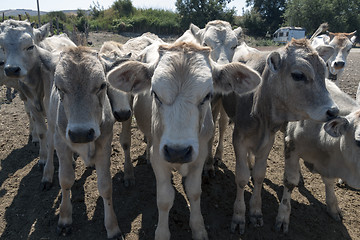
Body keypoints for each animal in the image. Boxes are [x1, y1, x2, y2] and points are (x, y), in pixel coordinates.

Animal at [37, 46, 122, 238]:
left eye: (102, 85)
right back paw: (47, 175)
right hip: (52, 123)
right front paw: (65, 218)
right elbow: (65, 179)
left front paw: (112, 227)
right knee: (49, 145)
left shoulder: (105, 142)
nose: (80, 133)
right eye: (59, 87)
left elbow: (105, 186)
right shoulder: (62, 141)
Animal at [107, 41, 262, 240]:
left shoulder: (199, 156)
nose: (177, 151)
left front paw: (198, 229)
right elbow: (165, 199)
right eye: (155, 93)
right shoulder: (160, 158)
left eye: (207, 95)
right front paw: (162, 233)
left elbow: (195, 192)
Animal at [176, 20, 243, 176]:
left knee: (223, 124)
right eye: (206, 44)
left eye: (234, 45)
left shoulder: (217, 101)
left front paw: (208, 164)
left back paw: (217, 155)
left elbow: (212, 131)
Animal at [221, 38, 338, 233]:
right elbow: (241, 177)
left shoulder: (268, 140)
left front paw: (255, 211)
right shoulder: (239, 139)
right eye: (298, 75)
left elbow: (260, 174)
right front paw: (239, 215)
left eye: (324, 72)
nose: (334, 111)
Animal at [276, 79, 360, 233]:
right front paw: (283, 216)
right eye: (358, 141)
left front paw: (333, 207)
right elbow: (290, 181)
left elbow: (329, 182)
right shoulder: (291, 145)